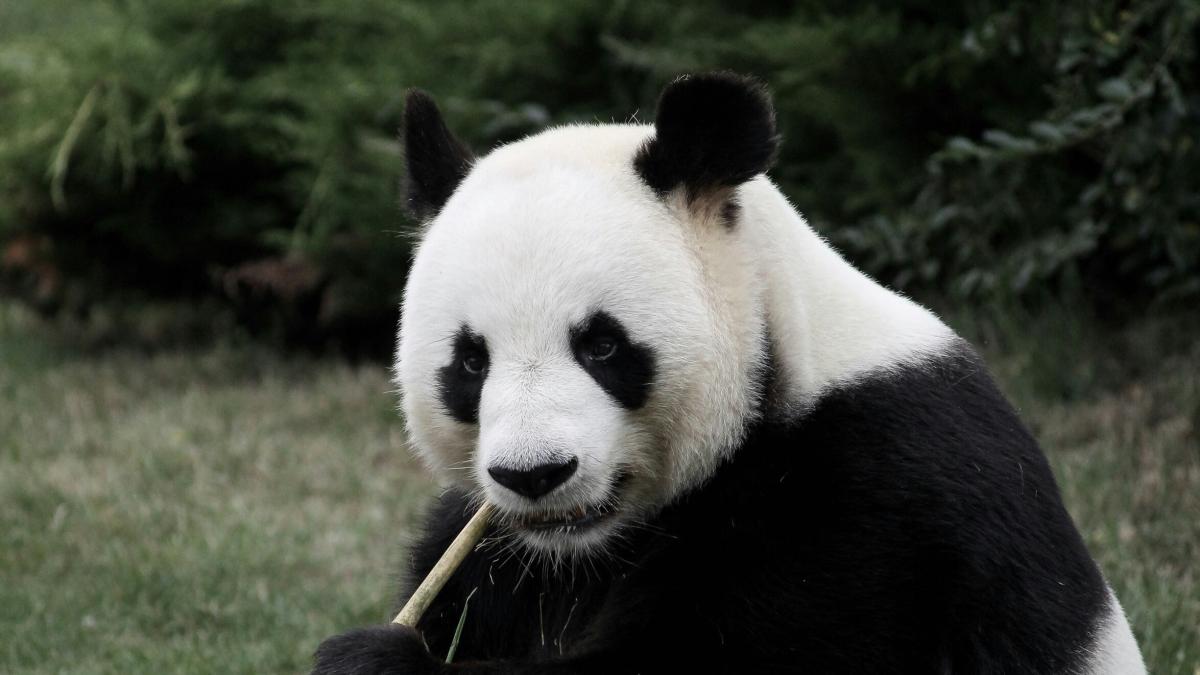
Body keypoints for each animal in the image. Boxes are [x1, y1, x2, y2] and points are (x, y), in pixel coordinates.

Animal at [313, 73, 1145, 674]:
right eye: (470, 360)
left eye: (603, 346)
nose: (535, 473)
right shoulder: (497, 554)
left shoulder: (868, 498)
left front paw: (376, 659)